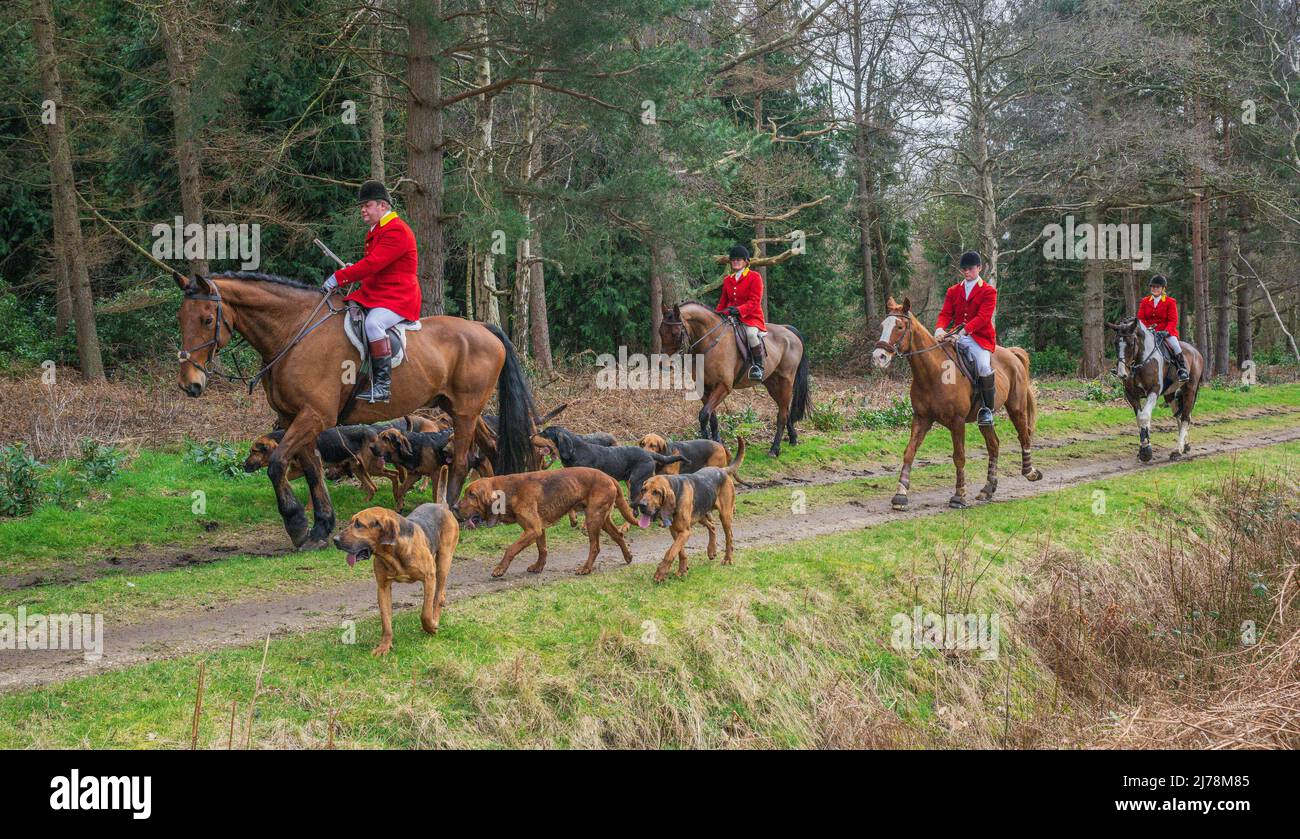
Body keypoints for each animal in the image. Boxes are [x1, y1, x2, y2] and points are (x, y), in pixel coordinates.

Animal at [175, 267, 535, 546]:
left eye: (206, 319)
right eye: (181, 318)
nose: (189, 383)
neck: (295, 333)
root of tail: (482, 327)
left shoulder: (313, 416)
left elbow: (277, 464)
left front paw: (296, 523)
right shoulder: (294, 417)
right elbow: (312, 471)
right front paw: (320, 526)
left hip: (465, 410)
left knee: (461, 460)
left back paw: (450, 510)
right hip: (460, 408)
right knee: (489, 446)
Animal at [660, 300, 811, 455]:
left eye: (675, 334)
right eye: (660, 332)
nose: (664, 365)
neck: (710, 342)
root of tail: (787, 330)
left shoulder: (724, 386)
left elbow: (704, 415)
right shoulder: (704, 388)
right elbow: (711, 417)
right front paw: (716, 443)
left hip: (786, 381)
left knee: (782, 414)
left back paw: (774, 449)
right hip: (772, 383)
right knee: (784, 408)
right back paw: (793, 438)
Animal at [873, 297, 1045, 512]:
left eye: (899, 326)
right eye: (882, 326)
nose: (878, 357)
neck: (932, 373)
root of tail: (1012, 354)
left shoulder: (957, 422)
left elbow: (959, 456)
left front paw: (959, 495)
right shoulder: (921, 419)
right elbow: (909, 452)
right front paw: (900, 495)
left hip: (1016, 408)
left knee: (1023, 436)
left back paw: (1030, 472)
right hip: (984, 418)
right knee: (994, 445)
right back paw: (988, 489)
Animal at [1107, 316, 1206, 460]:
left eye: (1131, 343)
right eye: (1115, 343)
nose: (1121, 373)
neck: (1141, 363)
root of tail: (1196, 352)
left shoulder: (1153, 391)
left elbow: (1144, 417)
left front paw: (1146, 451)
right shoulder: (1131, 395)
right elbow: (1140, 419)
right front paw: (1143, 447)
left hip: (1190, 390)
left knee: (1185, 417)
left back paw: (1177, 450)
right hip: (1170, 394)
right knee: (1178, 415)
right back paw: (1185, 445)